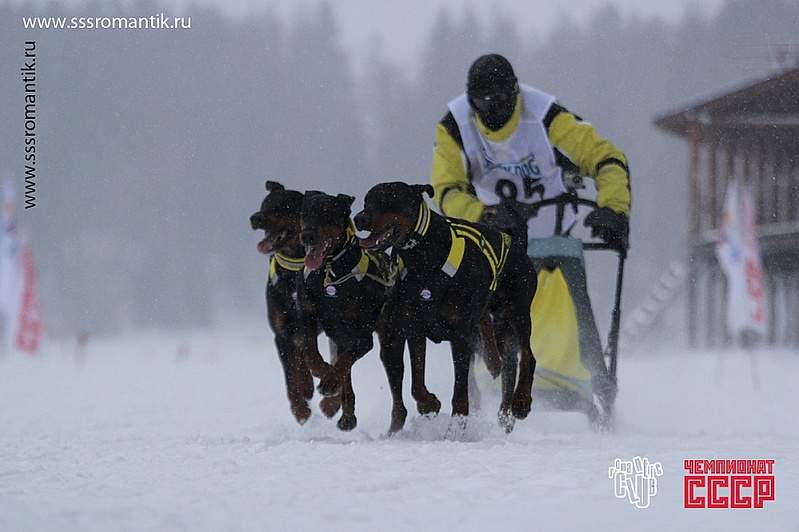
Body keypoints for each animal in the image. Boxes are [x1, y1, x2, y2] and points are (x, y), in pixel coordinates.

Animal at [250, 181, 316, 426]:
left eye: (283, 207)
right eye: (264, 205)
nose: (255, 218)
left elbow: (304, 355)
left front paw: (305, 394)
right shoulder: (282, 332)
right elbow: (290, 377)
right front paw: (300, 409)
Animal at [354, 182, 536, 432]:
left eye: (389, 199)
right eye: (366, 201)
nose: (359, 218)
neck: (424, 257)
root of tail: (514, 240)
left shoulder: (461, 335)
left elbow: (460, 390)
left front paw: (457, 423)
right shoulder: (414, 328)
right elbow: (417, 380)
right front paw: (428, 403)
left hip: (517, 313)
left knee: (527, 355)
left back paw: (521, 403)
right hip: (500, 324)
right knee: (509, 361)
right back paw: (505, 414)